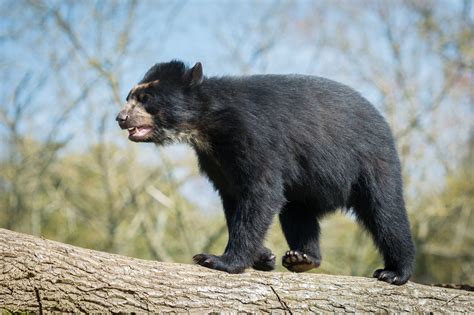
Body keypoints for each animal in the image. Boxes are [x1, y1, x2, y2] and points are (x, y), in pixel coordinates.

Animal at [115, 59, 414, 286]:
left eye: (146, 98)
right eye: (129, 97)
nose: (120, 118)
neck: (205, 127)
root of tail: (382, 121)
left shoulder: (253, 137)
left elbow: (261, 191)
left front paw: (218, 260)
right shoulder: (216, 161)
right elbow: (234, 198)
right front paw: (264, 257)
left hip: (372, 161)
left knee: (386, 212)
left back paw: (394, 272)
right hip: (306, 187)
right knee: (297, 213)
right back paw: (302, 258)